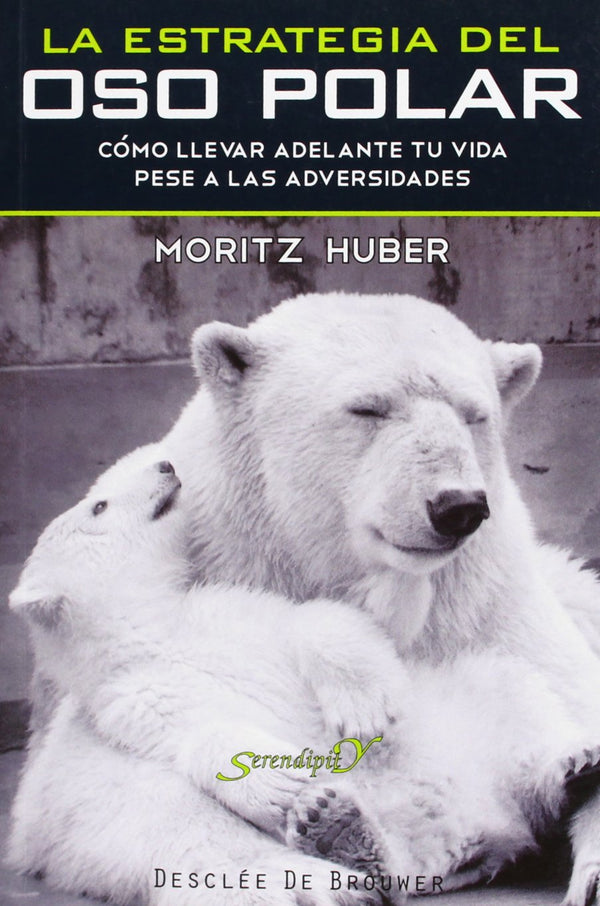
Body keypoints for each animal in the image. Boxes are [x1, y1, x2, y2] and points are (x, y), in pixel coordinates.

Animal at [9, 292, 600, 904]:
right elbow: (96, 789)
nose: (457, 505)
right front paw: (302, 870)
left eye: (474, 414)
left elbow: (569, 693)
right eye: (368, 409)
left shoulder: (485, 602)